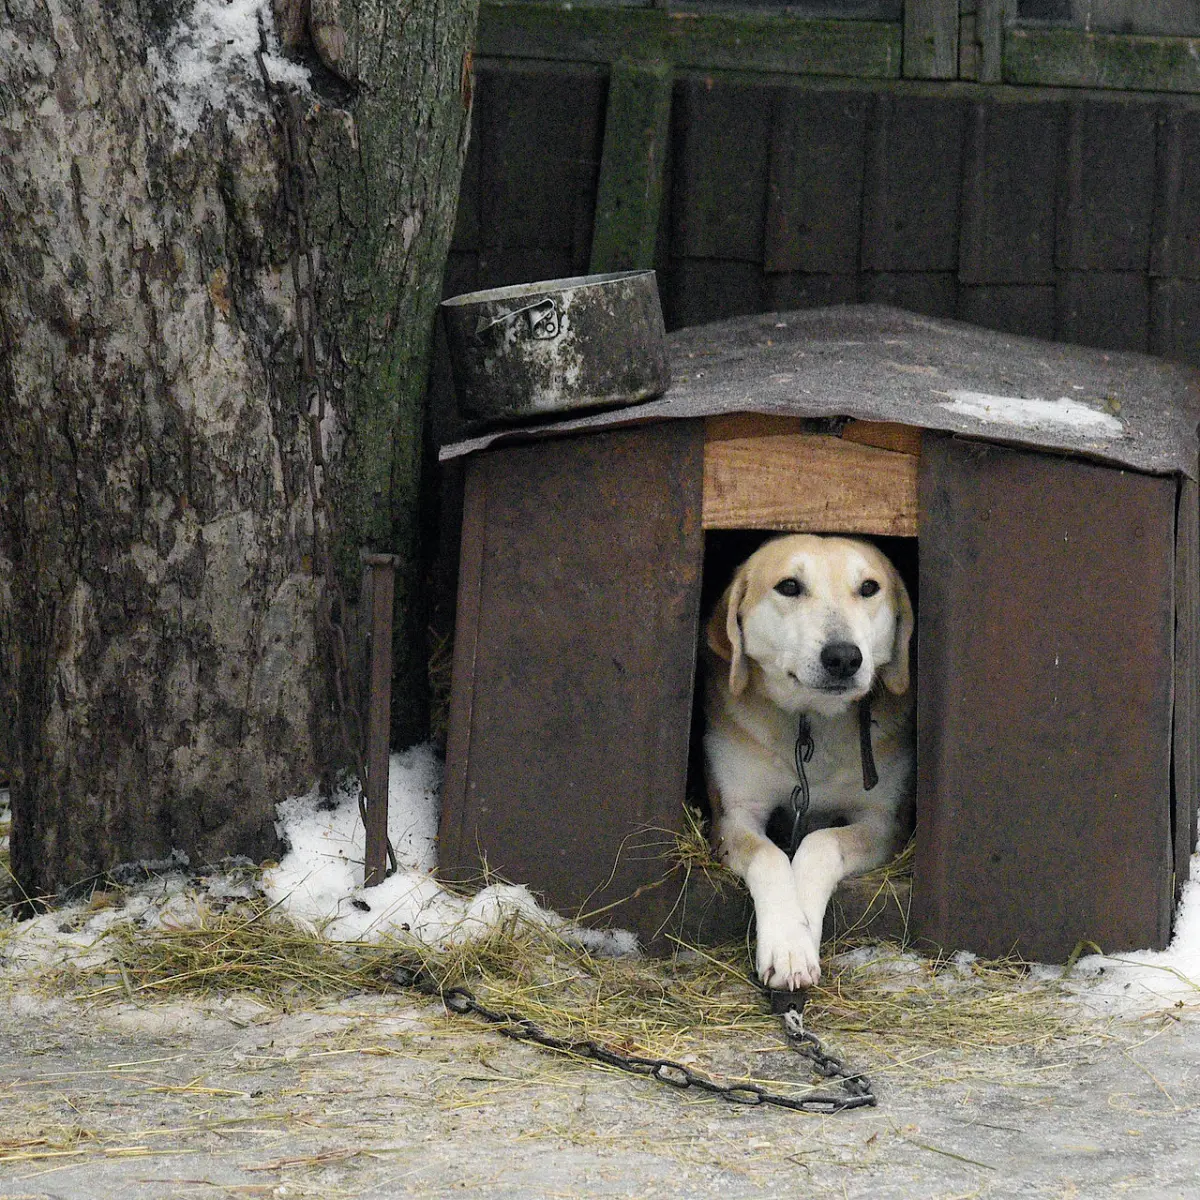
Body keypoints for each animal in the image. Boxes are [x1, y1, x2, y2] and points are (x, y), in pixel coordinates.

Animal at [700, 532, 912, 984]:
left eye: (869, 587)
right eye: (789, 586)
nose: (844, 657)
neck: (812, 722)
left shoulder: (883, 821)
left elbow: (820, 842)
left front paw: (802, 931)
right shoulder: (734, 815)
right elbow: (771, 856)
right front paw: (787, 941)